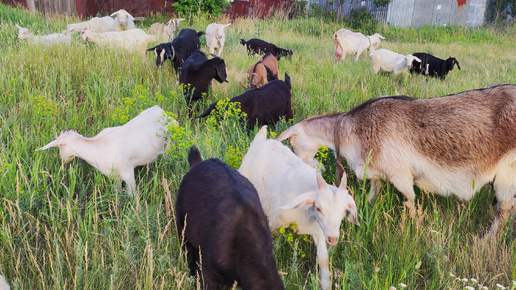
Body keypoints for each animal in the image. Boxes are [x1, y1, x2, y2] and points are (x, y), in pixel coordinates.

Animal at [36, 105, 177, 194]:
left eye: (60, 146)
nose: (61, 159)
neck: (99, 147)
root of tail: (160, 109)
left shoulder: (127, 172)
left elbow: (132, 194)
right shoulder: (113, 175)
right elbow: (118, 190)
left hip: (170, 143)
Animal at [238, 126, 358, 290]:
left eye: (344, 211)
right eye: (319, 208)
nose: (333, 238)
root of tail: (262, 140)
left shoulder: (319, 230)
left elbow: (323, 258)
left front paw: (325, 282)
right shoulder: (275, 221)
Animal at [278, 84, 516, 233]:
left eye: (292, 144)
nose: (305, 167)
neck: (350, 129)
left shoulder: (400, 174)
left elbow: (410, 202)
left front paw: (413, 230)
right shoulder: (378, 173)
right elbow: (373, 194)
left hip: (507, 175)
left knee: (503, 211)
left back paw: (485, 240)